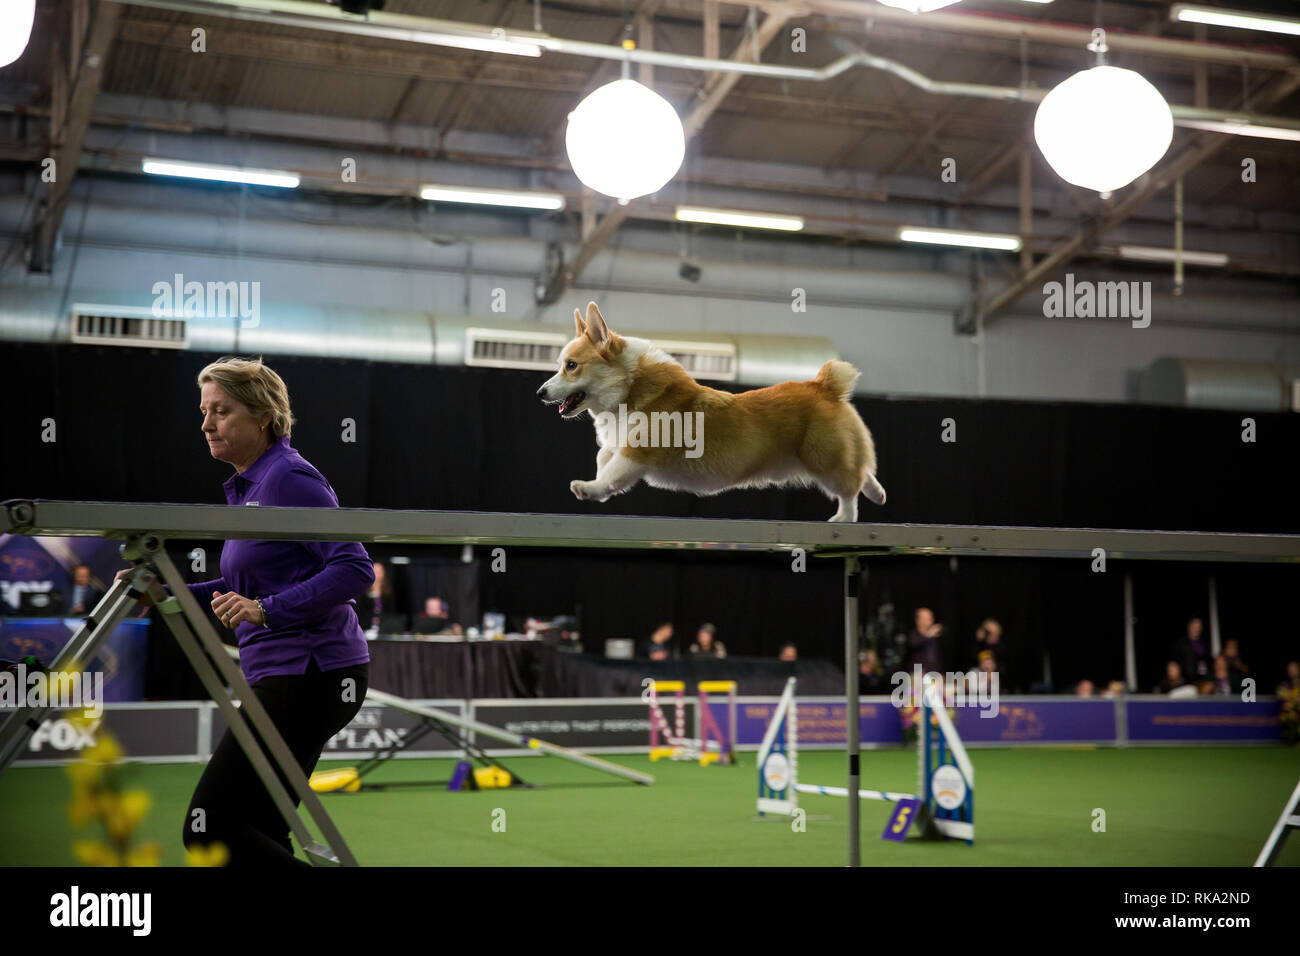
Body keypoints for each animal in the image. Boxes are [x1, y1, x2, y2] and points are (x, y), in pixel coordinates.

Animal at [535, 303, 883, 522]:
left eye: (571, 366)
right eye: (561, 364)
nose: (539, 393)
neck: (629, 387)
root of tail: (824, 385)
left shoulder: (638, 452)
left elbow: (611, 474)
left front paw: (589, 489)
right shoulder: (615, 445)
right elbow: (603, 460)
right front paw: (597, 486)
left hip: (823, 458)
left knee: (850, 485)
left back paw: (844, 517)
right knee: (862, 470)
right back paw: (877, 494)